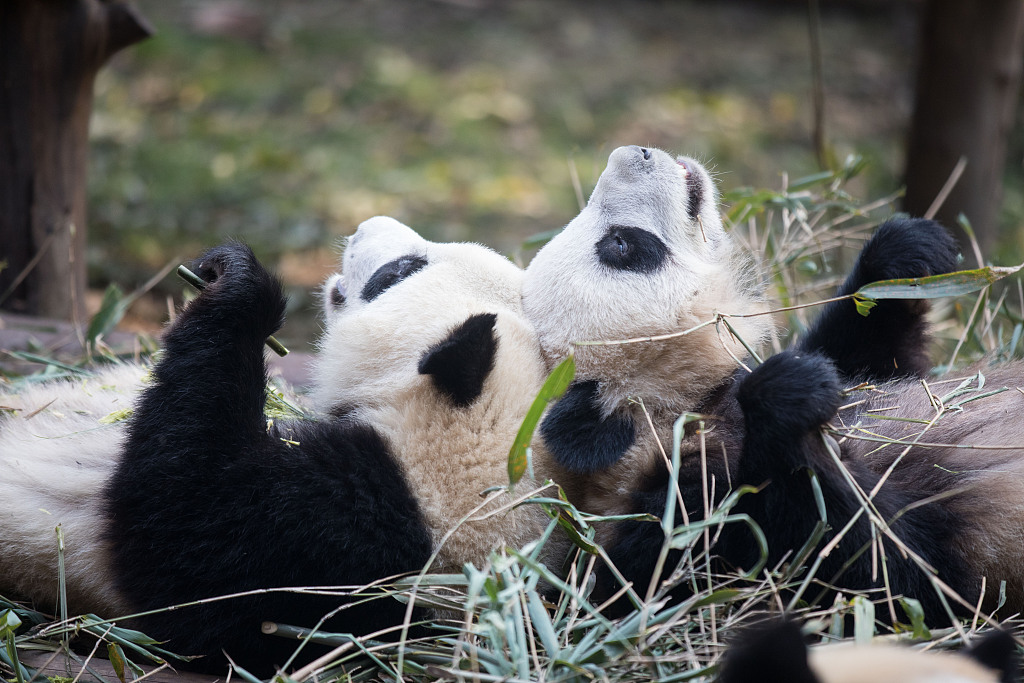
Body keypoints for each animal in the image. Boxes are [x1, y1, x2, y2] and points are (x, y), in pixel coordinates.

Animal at [524, 147, 1019, 622]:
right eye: (621, 245)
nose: (632, 153)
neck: (683, 403)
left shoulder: (855, 371)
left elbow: (875, 358)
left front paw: (907, 251)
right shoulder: (690, 515)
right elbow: (878, 571)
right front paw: (788, 396)